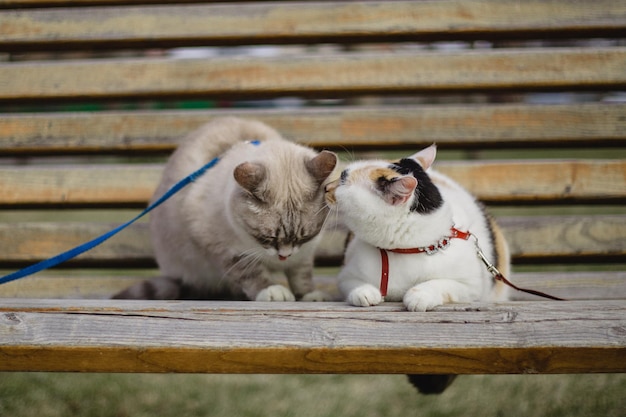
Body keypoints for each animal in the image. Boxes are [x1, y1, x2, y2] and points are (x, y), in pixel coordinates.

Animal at [113, 117, 336, 302]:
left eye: (304, 236)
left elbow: (301, 275)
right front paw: (272, 291)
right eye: (267, 238)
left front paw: (309, 296)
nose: (284, 256)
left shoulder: (305, 251)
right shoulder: (227, 249)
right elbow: (252, 273)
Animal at [324, 144, 510, 394]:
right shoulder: (346, 274)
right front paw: (366, 292)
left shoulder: (473, 286)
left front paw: (419, 295)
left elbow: (442, 284)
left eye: (343, 178)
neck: (405, 249)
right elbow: (354, 285)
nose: (325, 187)